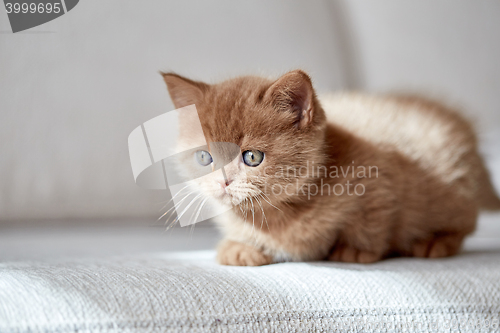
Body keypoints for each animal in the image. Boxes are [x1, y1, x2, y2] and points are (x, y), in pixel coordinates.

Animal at [162, 69, 498, 264]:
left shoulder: (379, 181)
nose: (223, 182)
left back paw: (434, 242)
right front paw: (240, 246)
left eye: (252, 157)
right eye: (204, 157)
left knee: (466, 222)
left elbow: (374, 222)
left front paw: (355, 249)